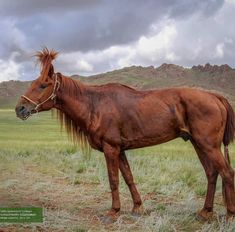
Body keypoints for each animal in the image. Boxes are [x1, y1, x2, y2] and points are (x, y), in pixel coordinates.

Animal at [15, 48, 234, 221]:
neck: (94, 105)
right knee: (212, 173)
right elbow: (128, 177)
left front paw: (114, 211)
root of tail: (215, 96)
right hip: (199, 144)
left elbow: (114, 180)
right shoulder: (120, 150)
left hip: (208, 146)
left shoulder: (110, 149)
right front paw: (138, 207)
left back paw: (229, 214)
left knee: (227, 173)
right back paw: (205, 212)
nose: (20, 109)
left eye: (43, 85)